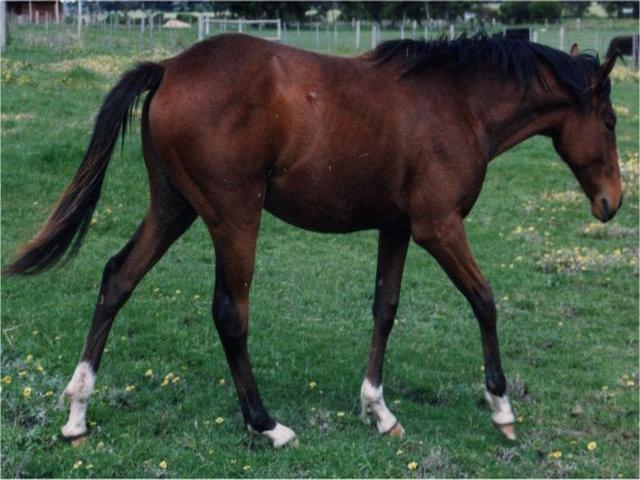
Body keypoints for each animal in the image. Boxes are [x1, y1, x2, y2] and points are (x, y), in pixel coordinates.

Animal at [4, 34, 623, 448]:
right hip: (234, 218)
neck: (457, 103)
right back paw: (267, 424)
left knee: (117, 279)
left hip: (172, 208)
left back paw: (77, 413)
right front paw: (501, 408)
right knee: (229, 312)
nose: (612, 203)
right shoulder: (439, 226)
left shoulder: (397, 227)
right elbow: (485, 300)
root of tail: (170, 68)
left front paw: (378, 410)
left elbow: (385, 308)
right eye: (613, 122)